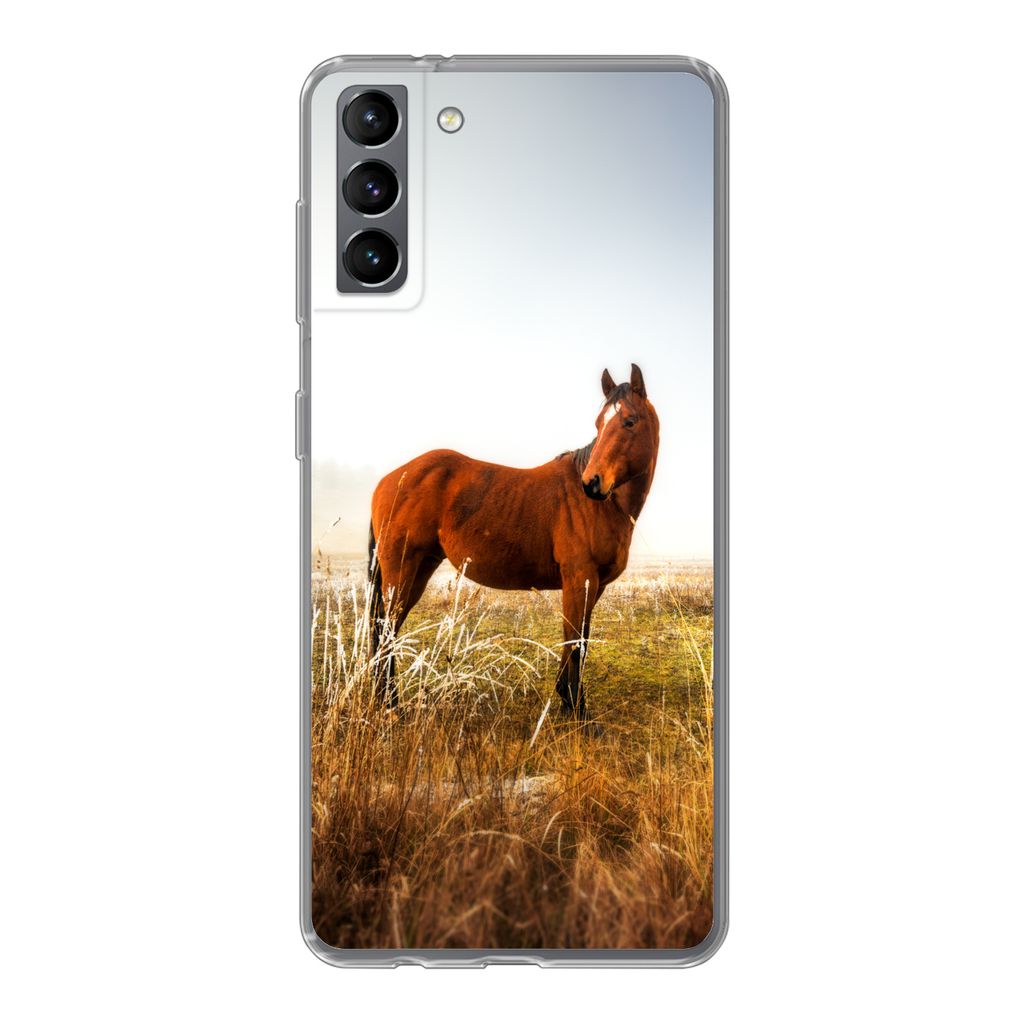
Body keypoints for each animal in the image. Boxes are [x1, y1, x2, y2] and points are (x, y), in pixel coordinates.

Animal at [367, 364, 659, 719]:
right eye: (599, 424)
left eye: (629, 421)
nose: (592, 483)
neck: (604, 505)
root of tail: (389, 480)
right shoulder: (579, 580)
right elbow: (574, 641)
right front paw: (576, 710)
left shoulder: (594, 585)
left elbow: (579, 639)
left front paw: (568, 702)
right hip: (401, 569)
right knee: (386, 631)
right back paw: (392, 706)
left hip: (419, 569)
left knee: (387, 630)